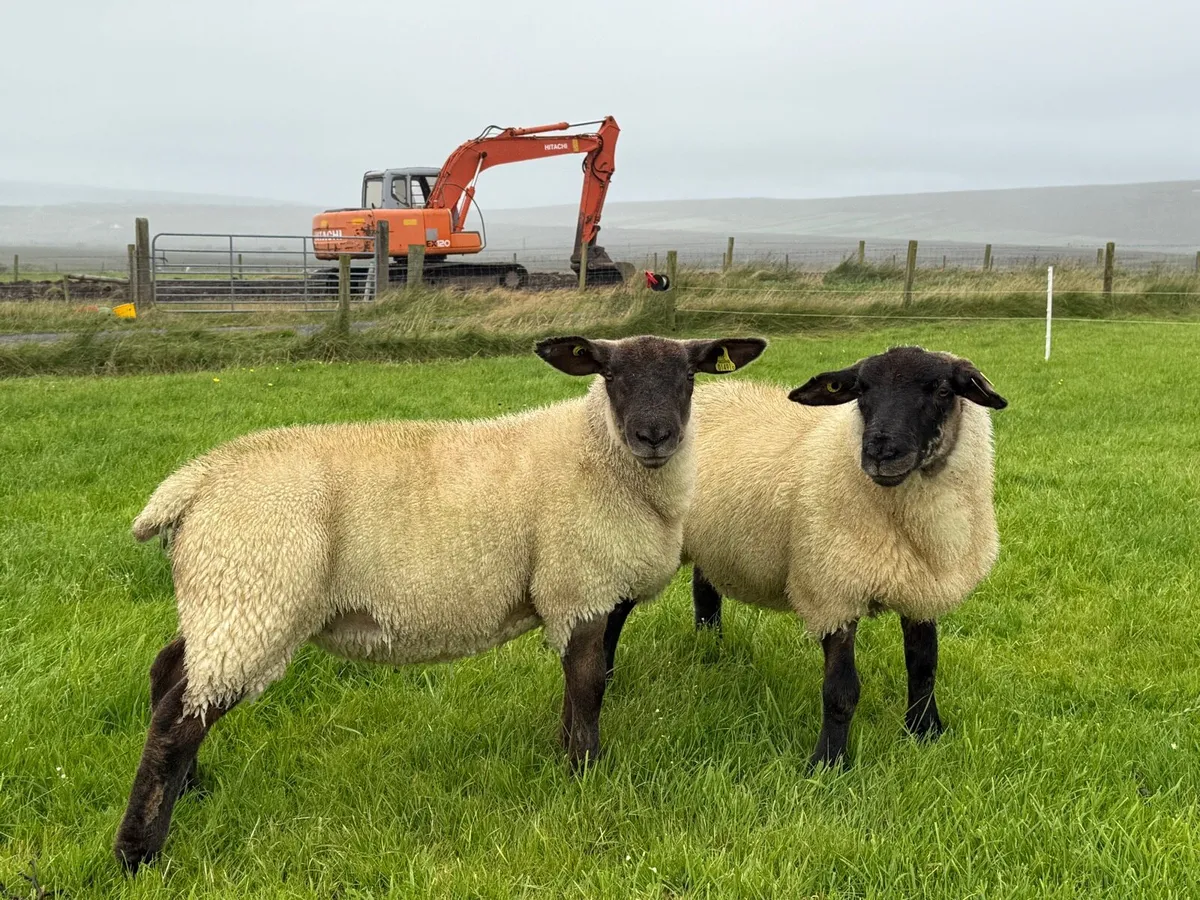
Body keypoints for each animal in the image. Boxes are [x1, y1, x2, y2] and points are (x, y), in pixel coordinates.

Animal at [112, 332, 767, 873]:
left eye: (689, 376)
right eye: (611, 375)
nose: (655, 436)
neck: (600, 454)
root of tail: (192, 484)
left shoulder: (586, 591)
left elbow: (580, 681)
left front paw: (566, 757)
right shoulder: (578, 582)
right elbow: (587, 683)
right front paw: (585, 773)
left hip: (224, 598)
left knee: (171, 673)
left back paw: (192, 788)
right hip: (255, 594)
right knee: (178, 718)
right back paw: (137, 853)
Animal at [602, 346, 1007, 769]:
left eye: (943, 390)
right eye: (861, 390)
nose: (880, 452)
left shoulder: (922, 587)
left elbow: (924, 667)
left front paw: (925, 732)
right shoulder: (830, 591)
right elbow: (841, 690)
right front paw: (829, 763)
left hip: (717, 540)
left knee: (705, 590)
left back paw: (711, 650)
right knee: (615, 610)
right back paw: (607, 678)